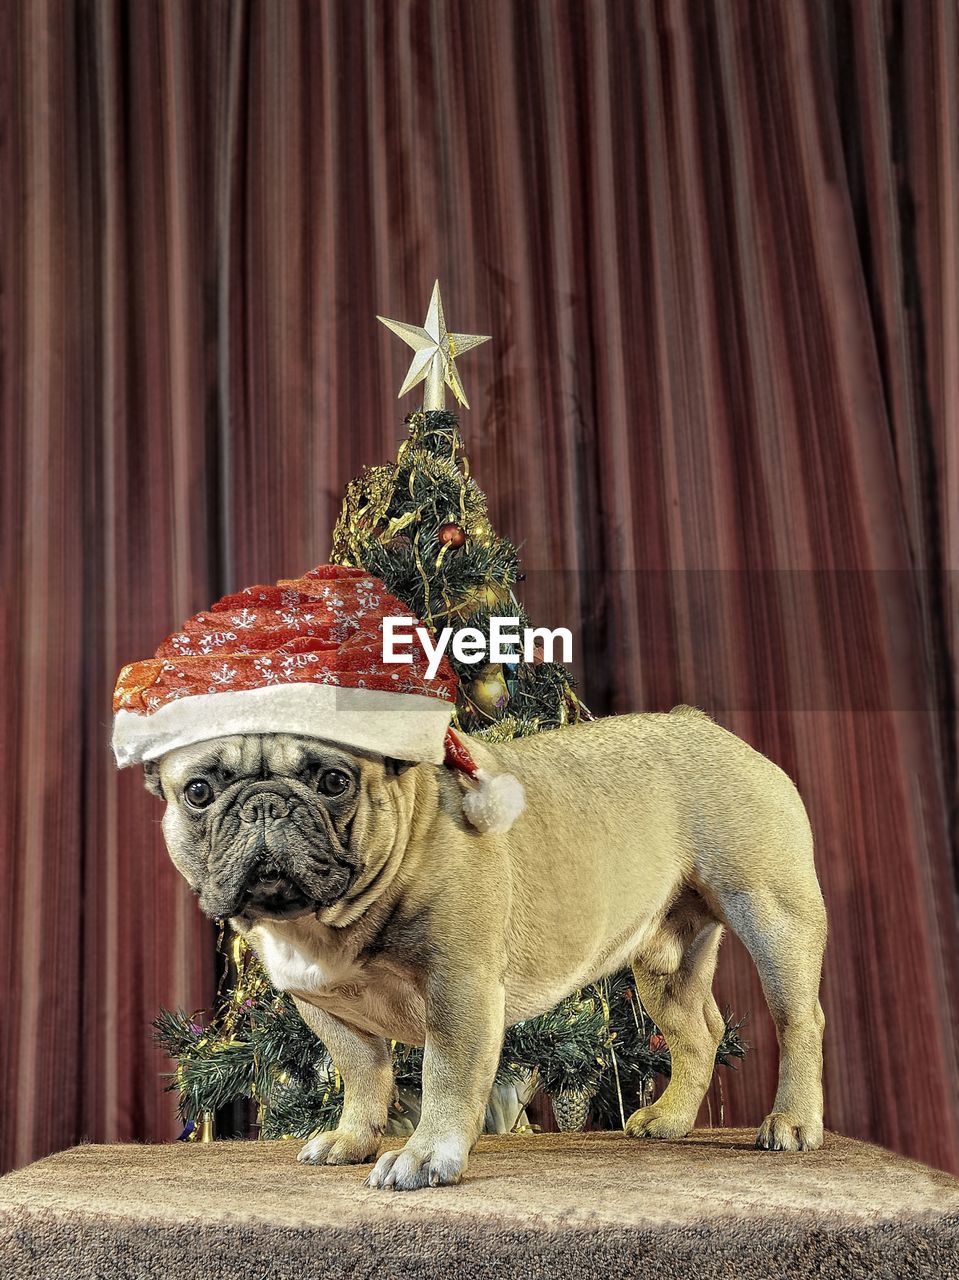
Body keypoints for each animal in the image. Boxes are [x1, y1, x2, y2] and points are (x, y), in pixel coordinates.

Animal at [147, 701, 824, 1187]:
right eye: (198, 792)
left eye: (334, 780)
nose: (265, 806)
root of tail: (712, 730)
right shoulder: (327, 1008)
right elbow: (364, 1075)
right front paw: (352, 1139)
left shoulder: (460, 987)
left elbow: (445, 1076)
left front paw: (424, 1157)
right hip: (665, 955)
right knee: (698, 1031)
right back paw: (671, 1119)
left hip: (771, 912)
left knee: (800, 1021)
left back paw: (791, 1122)